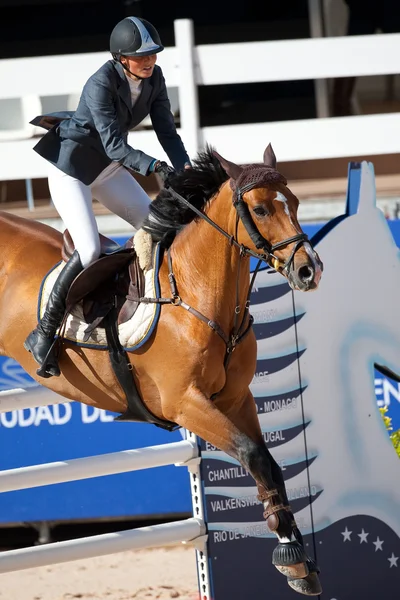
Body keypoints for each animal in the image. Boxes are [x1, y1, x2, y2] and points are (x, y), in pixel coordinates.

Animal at [0, 143, 322, 592]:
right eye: (259, 209)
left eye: (293, 202)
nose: (310, 270)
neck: (196, 293)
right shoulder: (185, 404)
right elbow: (252, 455)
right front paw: (292, 557)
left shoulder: (236, 398)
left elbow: (269, 465)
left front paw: (298, 559)